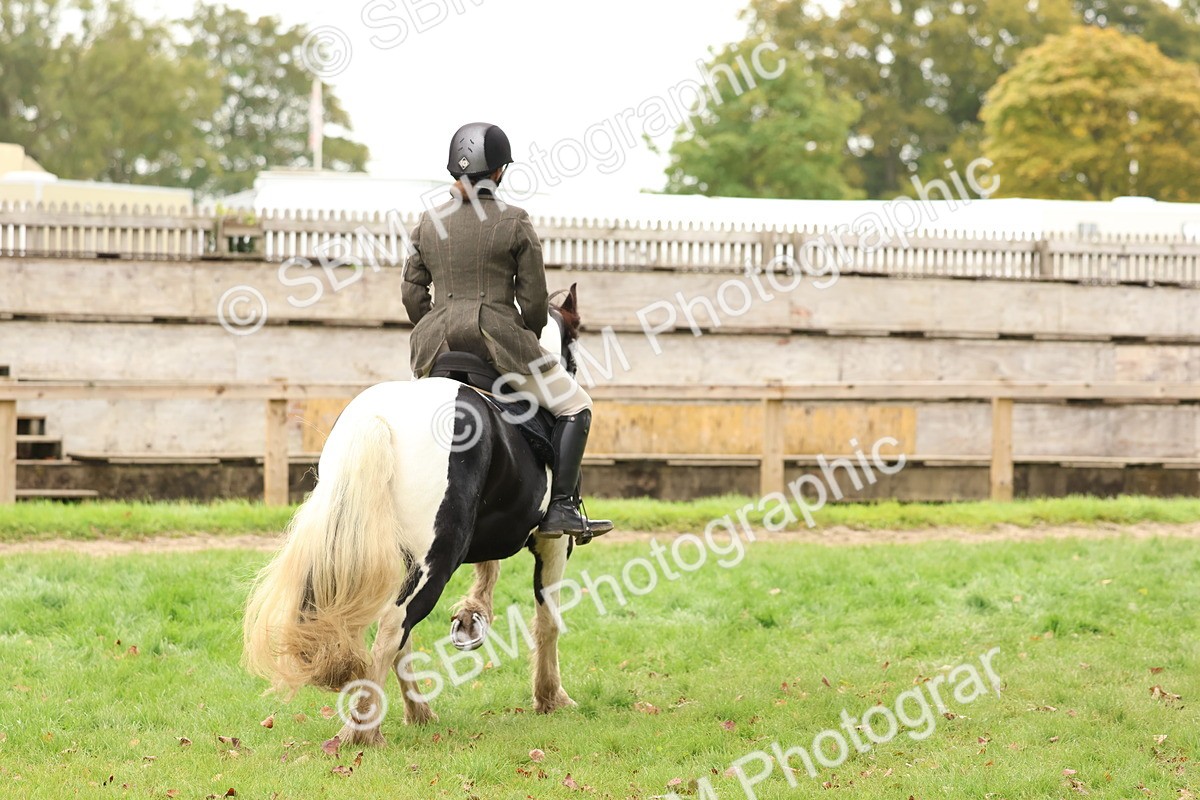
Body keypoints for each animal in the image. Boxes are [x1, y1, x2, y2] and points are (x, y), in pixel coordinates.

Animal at [242, 287, 588, 746]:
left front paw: (472, 614)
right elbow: (548, 619)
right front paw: (550, 697)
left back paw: (415, 712)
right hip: (436, 557)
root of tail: (382, 418)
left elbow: (490, 570)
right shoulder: (554, 541)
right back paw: (362, 731)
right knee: (395, 626)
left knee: (396, 632)